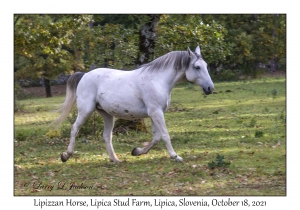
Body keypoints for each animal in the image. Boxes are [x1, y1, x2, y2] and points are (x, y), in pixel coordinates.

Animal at [54, 46, 213, 164]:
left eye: (206, 65)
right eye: (197, 67)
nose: (210, 88)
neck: (158, 80)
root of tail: (84, 75)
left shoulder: (155, 113)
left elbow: (156, 138)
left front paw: (136, 151)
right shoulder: (156, 112)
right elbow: (165, 135)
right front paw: (175, 156)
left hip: (107, 114)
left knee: (107, 135)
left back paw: (115, 160)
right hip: (86, 110)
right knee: (75, 128)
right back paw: (66, 155)